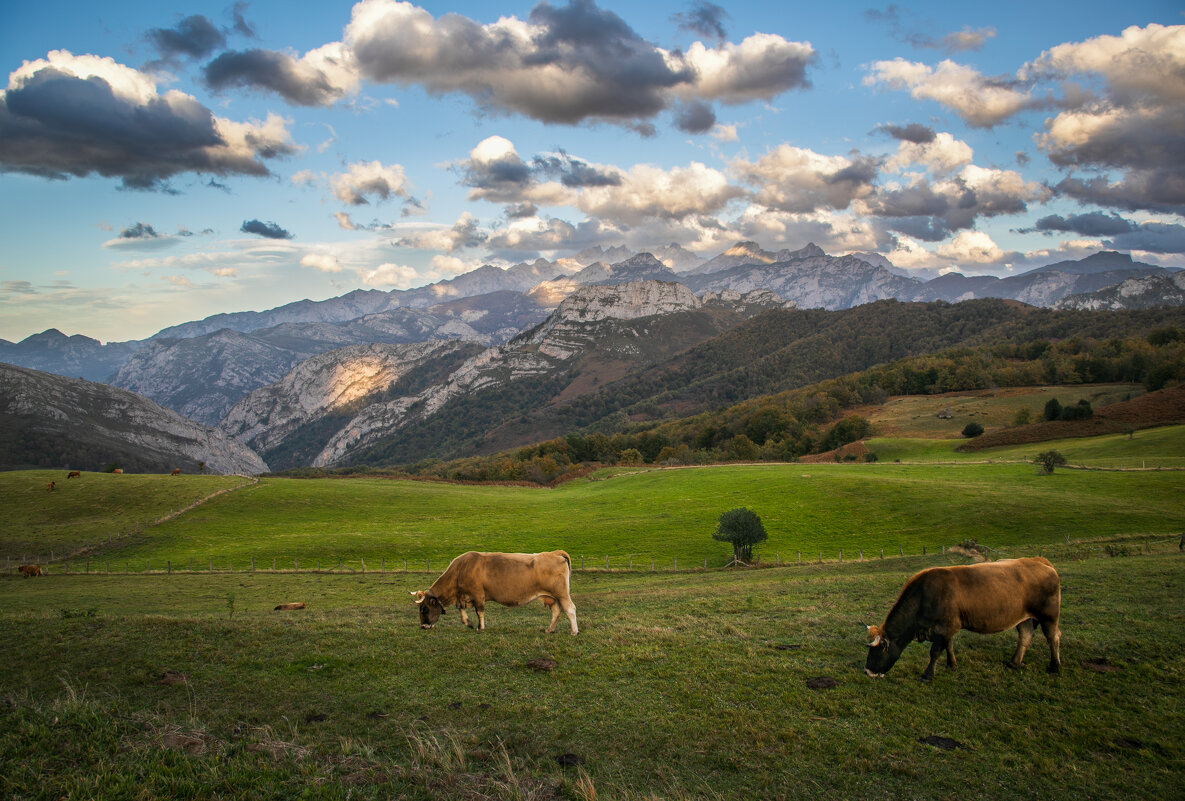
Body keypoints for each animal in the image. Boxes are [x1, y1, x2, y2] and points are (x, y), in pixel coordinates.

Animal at [412, 547, 578, 635]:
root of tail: (554, 553)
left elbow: (479, 612)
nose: (423, 626)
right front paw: (468, 622)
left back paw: (574, 631)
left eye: (424, 609)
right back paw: (550, 629)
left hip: (561, 594)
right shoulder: (463, 596)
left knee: (570, 609)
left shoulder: (478, 595)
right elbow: (462, 610)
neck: (460, 570)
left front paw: (480, 627)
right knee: (557, 611)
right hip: (552, 597)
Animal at [862, 556, 1066, 682]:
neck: (924, 596)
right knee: (1025, 635)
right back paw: (1013, 663)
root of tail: (1040, 561)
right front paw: (951, 665)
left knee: (1053, 636)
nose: (867, 672)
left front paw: (927, 675)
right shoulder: (948, 628)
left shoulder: (945, 626)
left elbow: (935, 651)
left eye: (875, 652)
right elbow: (949, 646)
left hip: (1049, 615)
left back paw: (1054, 666)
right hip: (1023, 617)